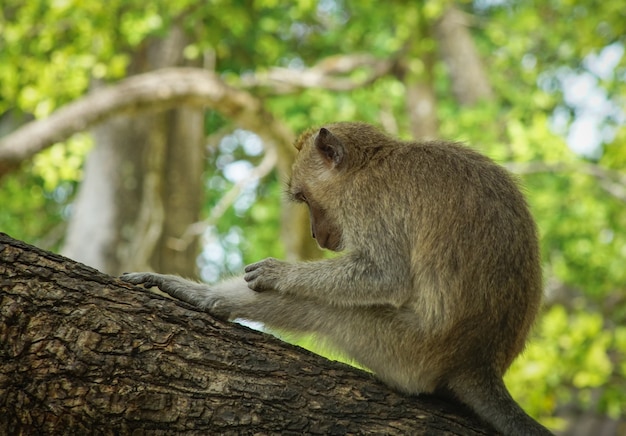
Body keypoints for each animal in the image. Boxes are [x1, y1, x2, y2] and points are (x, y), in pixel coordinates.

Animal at [123, 122, 552, 436]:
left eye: (304, 198)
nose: (316, 235)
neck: (371, 163)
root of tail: (481, 362)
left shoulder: (369, 202)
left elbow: (385, 274)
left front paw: (278, 272)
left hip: (409, 351)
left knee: (326, 310)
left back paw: (210, 299)